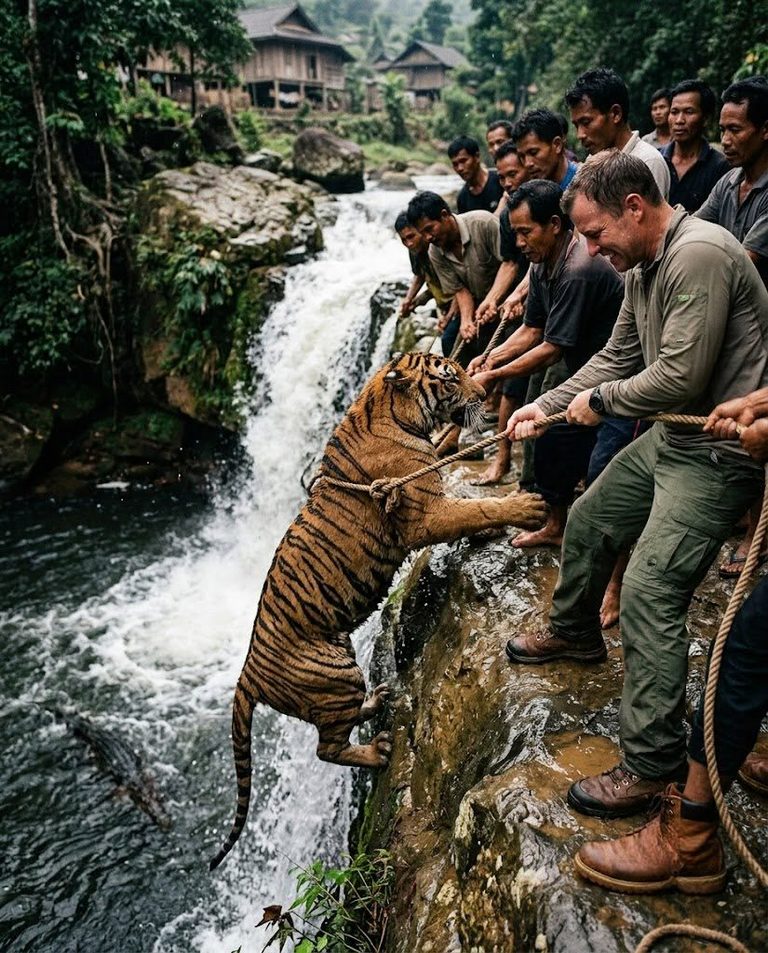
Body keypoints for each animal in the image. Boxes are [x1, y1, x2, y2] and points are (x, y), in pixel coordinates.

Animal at [209, 351, 547, 869]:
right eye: (451, 377)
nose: (486, 395)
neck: (390, 410)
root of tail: (247, 673)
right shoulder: (427, 513)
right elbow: (475, 508)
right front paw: (523, 507)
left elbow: (468, 506)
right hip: (334, 673)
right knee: (326, 749)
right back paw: (378, 749)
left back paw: (377, 700)